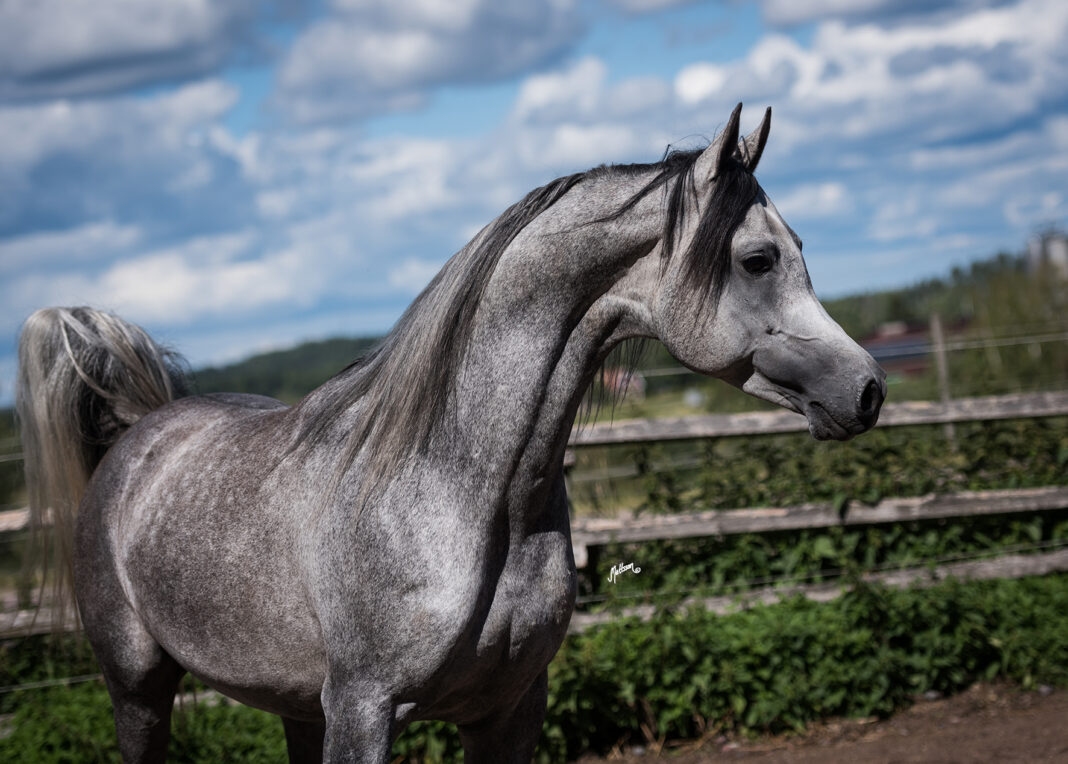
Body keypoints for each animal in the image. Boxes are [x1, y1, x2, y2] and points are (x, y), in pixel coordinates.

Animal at [18, 104, 884, 760]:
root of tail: (138, 434)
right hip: (138, 688)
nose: (869, 389)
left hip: (292, 703)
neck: (456, 490)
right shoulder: (364, 711)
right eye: (759, 258)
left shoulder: (508, 710)